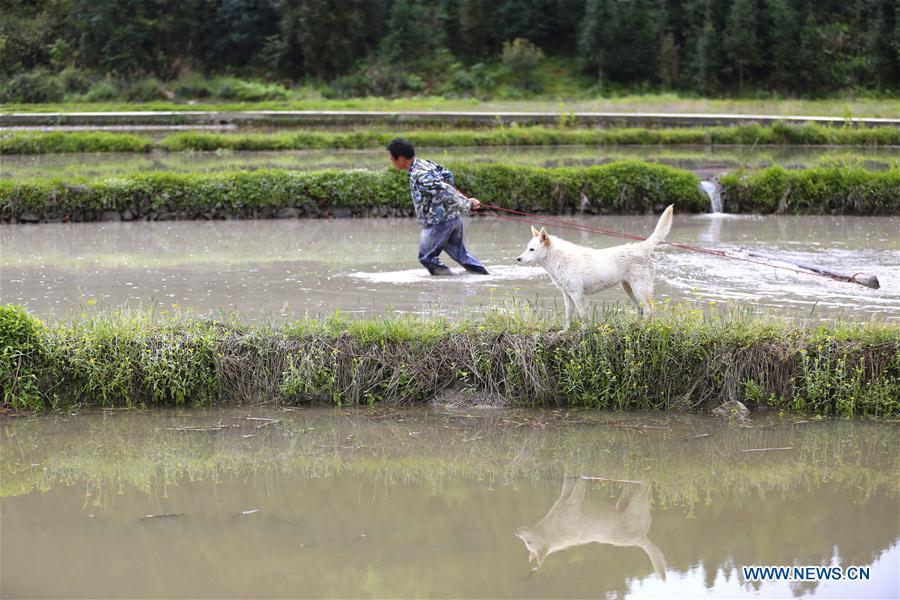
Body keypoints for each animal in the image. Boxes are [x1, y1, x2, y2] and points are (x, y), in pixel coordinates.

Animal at [516, 209, 672, 326]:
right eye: (527, 248)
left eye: (532, 249)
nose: (518, 258)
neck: (559, 260)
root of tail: (642, 247)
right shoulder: (567, 296)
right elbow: (568, 316)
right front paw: (566, 331)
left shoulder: (577, 294)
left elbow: (583, 316)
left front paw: (584, 333)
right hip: (629, 289)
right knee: (640, 309)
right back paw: (636, 326)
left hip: (639, 289)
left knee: (649, 310)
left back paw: (645, 328)